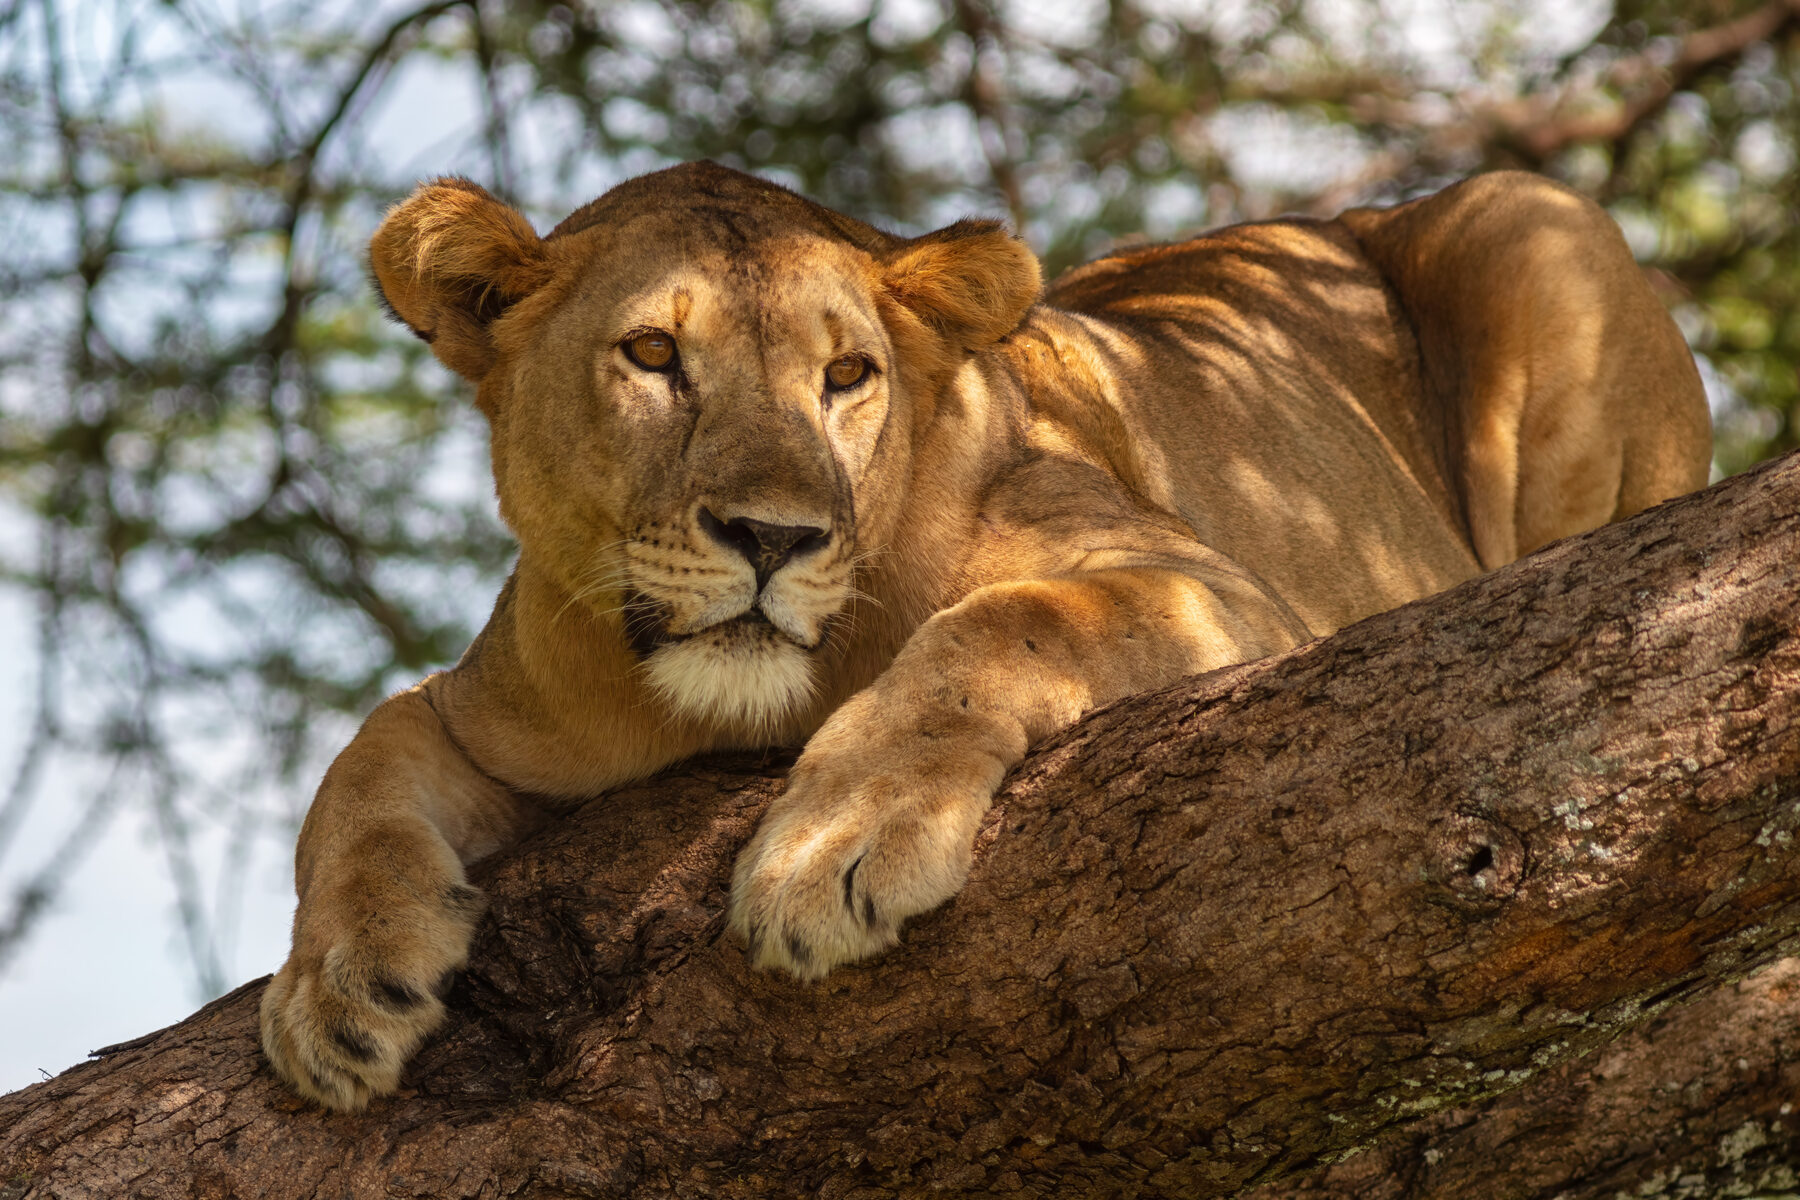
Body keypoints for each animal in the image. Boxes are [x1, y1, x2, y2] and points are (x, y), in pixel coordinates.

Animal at [259, 162, 1711, 1110]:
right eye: (654, 354)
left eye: (847, 375)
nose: (773, 538)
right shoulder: (496, 704)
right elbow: (358, 768)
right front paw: (334, 988)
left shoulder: (1214, 584)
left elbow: (994, 623)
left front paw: (833, 849)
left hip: (1531, 221)